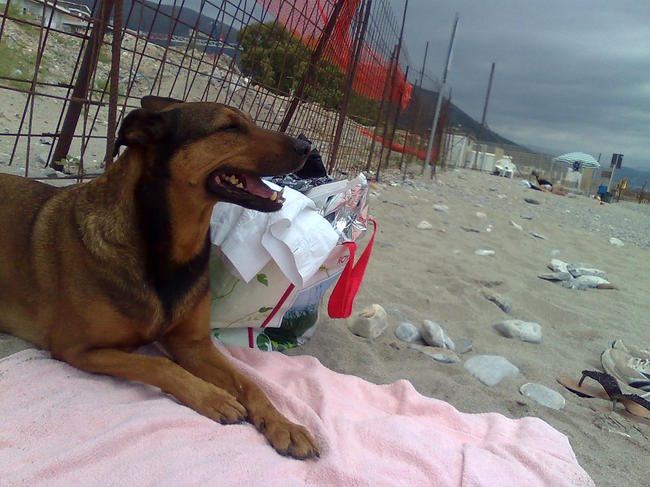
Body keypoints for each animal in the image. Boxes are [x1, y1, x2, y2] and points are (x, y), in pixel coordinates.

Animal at [0, 96, 320, 459]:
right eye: (228, 127)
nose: (307, 146)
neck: (168, 249)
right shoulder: (76, 348)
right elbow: (160, 366)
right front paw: (213, 396)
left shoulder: (193, 344)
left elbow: (250, 383)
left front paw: (285, 425)